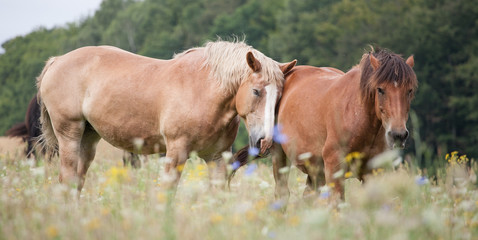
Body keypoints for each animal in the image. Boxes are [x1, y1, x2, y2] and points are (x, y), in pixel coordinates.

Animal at [37, 39, 296, 193]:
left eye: (280, 95)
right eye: (256, 91)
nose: (265, 142)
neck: (202, 91)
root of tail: (56, 61)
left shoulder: (216, 158)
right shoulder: (176, 152)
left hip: (88, 138)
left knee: (77, 181)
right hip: (69, 134)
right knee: (68, 178)